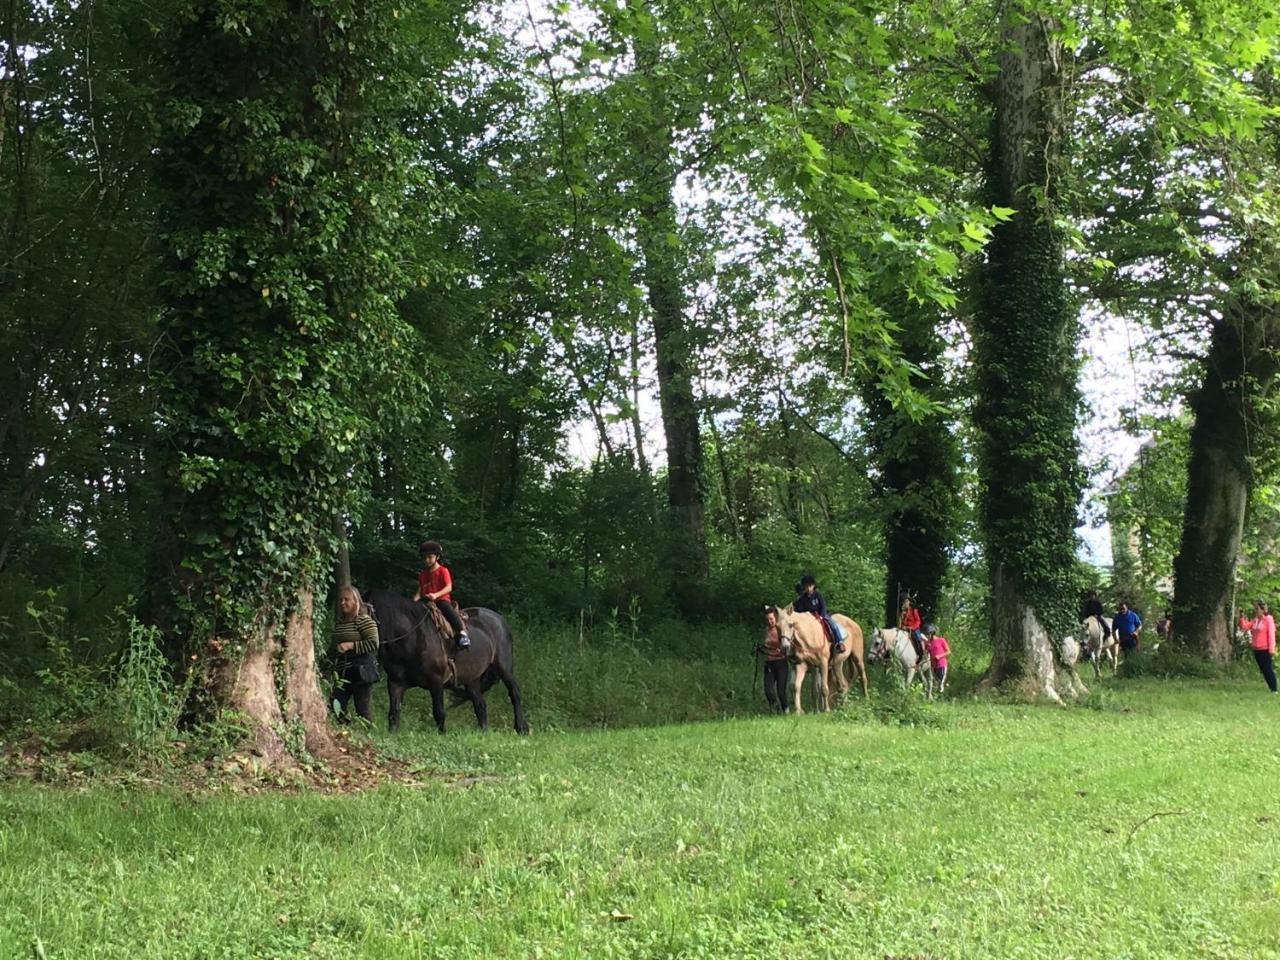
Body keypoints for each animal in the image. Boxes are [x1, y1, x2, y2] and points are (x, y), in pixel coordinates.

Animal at [368, 586, 527, 737]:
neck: (411, 639)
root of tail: (500, 619)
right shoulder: (395, 683)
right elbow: (393, 712)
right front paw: (392, 734)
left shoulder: (436, 681)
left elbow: (439, 712)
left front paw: (442, 734)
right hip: (472, 678)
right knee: (480, 704)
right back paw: (484, 731)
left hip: (504, 668)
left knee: (515, 693)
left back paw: (520, 728)